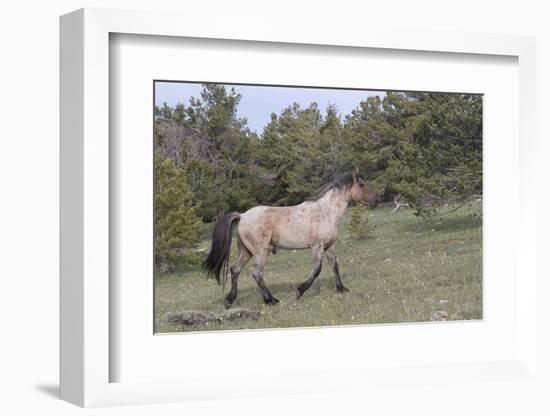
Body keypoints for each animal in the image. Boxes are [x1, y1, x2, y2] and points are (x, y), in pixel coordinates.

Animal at [202, 170, 380, 308]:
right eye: (362, 184)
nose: (376, 199)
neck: (325, 212)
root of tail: (242, 215)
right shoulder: (317, 247)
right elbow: (317, 269)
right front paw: (300, 290)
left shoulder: (330, 246)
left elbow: (335, 266)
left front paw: (341, 289)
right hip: (261, 252)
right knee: (257, 273)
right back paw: (271, 300)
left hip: (246, 251)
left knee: (235, 270)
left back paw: (230, 300)